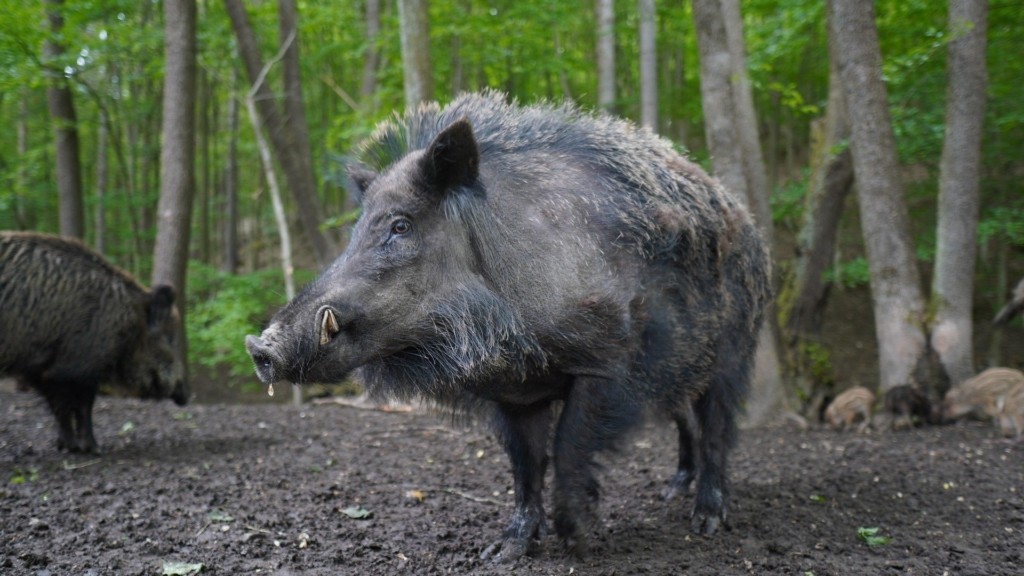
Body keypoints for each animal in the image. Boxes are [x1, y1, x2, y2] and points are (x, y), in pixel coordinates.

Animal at [0, 231, 188, 453]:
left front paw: (70, 446)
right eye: (170, 337)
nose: (187, 394)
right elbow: (78, 408)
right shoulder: (73, 368)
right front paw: (89, 449)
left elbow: (64, 408)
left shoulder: (43, 371)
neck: (128, 323)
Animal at [246, 92, 772, 562]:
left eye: (400, 226)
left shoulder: (607, 364)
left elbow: (568, 446)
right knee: (686, 422)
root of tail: (749, 225)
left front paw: (578, 542)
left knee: (717, 428)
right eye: (355, 231)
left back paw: (705, 522)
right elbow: (524, 466)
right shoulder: (515, 394)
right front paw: (502, 552)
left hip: (735, 350)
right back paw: (671, 493)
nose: (259, 346)